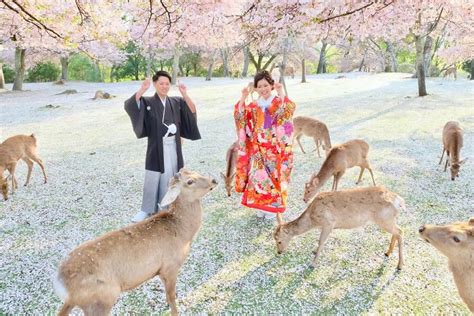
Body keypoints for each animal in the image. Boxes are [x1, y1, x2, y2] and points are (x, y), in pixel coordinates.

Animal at [53, 170, 218, 316]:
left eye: (194, 171)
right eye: (189, 181)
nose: (214, 180)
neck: (183, 234)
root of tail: (60, 284)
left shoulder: (160, 271)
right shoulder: (170, 267)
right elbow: (171, 298)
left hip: (80, 301)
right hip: (102, 298)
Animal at [274, 186, 404, 270]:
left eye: (279, 240)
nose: (279, 252)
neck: (313, 220)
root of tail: (399, 201)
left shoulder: (329, 223)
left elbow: (321, 241)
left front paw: (313, 264)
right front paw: (314, 251)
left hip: (384, 219)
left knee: (400, 231)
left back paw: (399, 265)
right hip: (389, 219)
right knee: (396, 232)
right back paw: (388, 253)